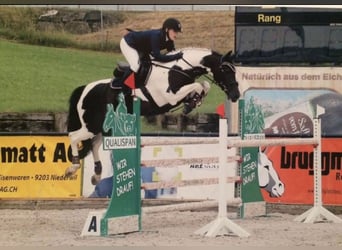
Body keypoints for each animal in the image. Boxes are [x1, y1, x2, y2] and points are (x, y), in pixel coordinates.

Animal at [65, 47, 240, 185]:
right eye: (225, 70)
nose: (236, 95)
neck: (177, 70)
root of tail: (84, 89)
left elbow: (204, 85)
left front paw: (193, 101)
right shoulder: (170, 97)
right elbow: (197, 85)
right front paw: (192, 102)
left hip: (102, 127)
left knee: (94, 145)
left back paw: (97, 174)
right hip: (91, 125)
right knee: (74, 137)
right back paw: (73, 167)